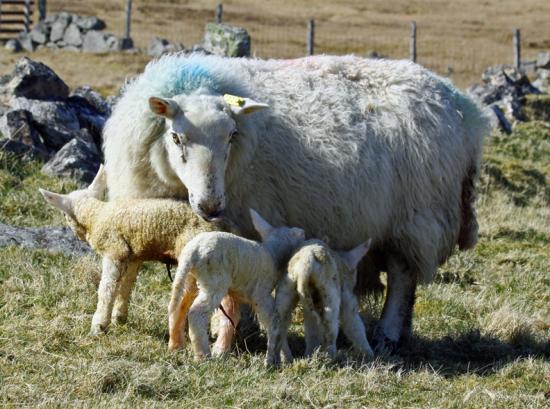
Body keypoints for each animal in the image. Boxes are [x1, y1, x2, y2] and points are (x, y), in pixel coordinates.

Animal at [168, 209, 306, 362]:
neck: (272, 254)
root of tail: (192, 252)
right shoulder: (262, 295)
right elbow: (272, 320)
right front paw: (286, 356)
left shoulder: (239, 292)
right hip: (214, 281)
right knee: (196, 313)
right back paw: (203, 356)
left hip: (188, 277)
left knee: (178, 307)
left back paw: (176, 345)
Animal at [270, 236, 378, 364]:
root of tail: (305, 266)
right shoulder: (346, 295)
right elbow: (353, 323)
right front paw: (370, 355)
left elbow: (311, 328)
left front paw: (310, 353)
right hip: (329, 289)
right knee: (330, 324)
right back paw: (331, 358)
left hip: (286, 286)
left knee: (277, 324)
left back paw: (277, 361)